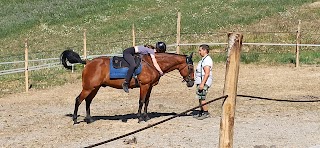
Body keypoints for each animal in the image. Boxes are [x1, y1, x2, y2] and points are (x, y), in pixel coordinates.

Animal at [60, 49, 195, 123]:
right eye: (191, 68)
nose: (192, 82)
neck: (151, 63)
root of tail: (88, 62)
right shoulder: (144, 86)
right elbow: (141, 101)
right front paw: (140, 118)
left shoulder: (150, 86)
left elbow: (147, 102)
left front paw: (146, 117)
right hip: (88, 88)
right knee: (78, 100)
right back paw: (75, 119)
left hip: (95, 88)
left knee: (88, 101)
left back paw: (89, 119)